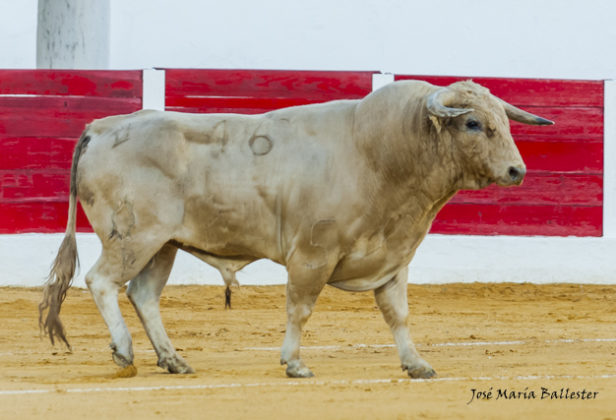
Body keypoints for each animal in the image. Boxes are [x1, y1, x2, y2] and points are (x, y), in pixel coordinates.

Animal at [39, 80, 552, 378]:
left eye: (503, 120)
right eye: (472, 123)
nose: (516, 170)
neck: (378, 153)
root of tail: (105, 125)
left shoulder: (394, 256)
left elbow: (397, 314)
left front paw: (416, 363)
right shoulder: (312, 253)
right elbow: (300, 308)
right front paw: (295, 362)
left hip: (163, 245)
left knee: (143, 294)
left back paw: (174, 360)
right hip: (133, 237)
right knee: (102, 281)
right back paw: (124, 352)